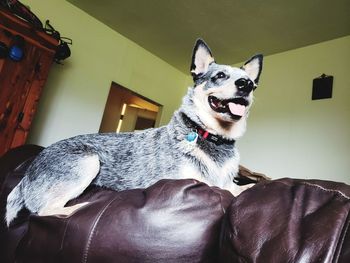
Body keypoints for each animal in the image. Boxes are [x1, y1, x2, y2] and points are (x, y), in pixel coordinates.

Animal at [5, 38, 262, 227]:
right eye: (220, 76)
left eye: (250, 82)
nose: (246, 85)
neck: (214, 138)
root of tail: (26, 176)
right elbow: (221, 189)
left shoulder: (229, 183)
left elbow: (240, 189)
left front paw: (251, 187)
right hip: (89, 161)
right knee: (42, 211)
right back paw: (77, 208)